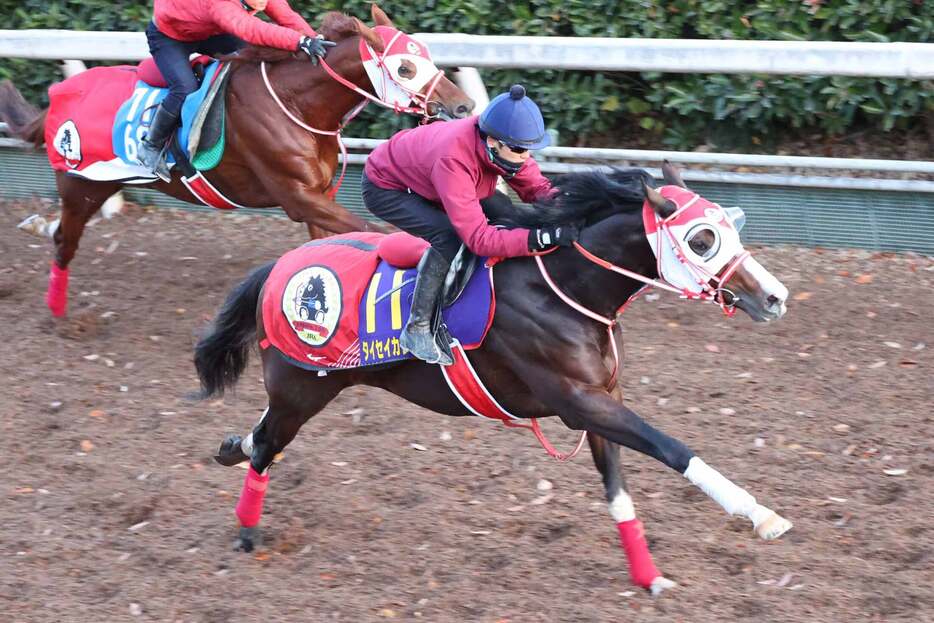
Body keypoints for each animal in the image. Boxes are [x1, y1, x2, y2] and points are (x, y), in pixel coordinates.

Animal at [0, 3, 472, 316]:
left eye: (427, 57)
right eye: (406, 68)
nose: (463, 106)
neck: (298, 104)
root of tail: (61, 94)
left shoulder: (318, 197)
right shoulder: (298, 198)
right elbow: (373, 231)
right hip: (82, 186)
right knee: (64, 241)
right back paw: (58, 313)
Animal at [194, 165, 792, 596]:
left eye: (729, 225)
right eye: (702, 239)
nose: (775, 297)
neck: (564, 288)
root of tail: (276, 268)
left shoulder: (602, 399)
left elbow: (618, 493)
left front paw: (649, 576)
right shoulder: (578, 401)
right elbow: (673, 447)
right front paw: (761, 515)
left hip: (305, 388)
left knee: (261, 435)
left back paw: (229, 448)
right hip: (304, 388)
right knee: (268, 444)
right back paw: (246, 531)